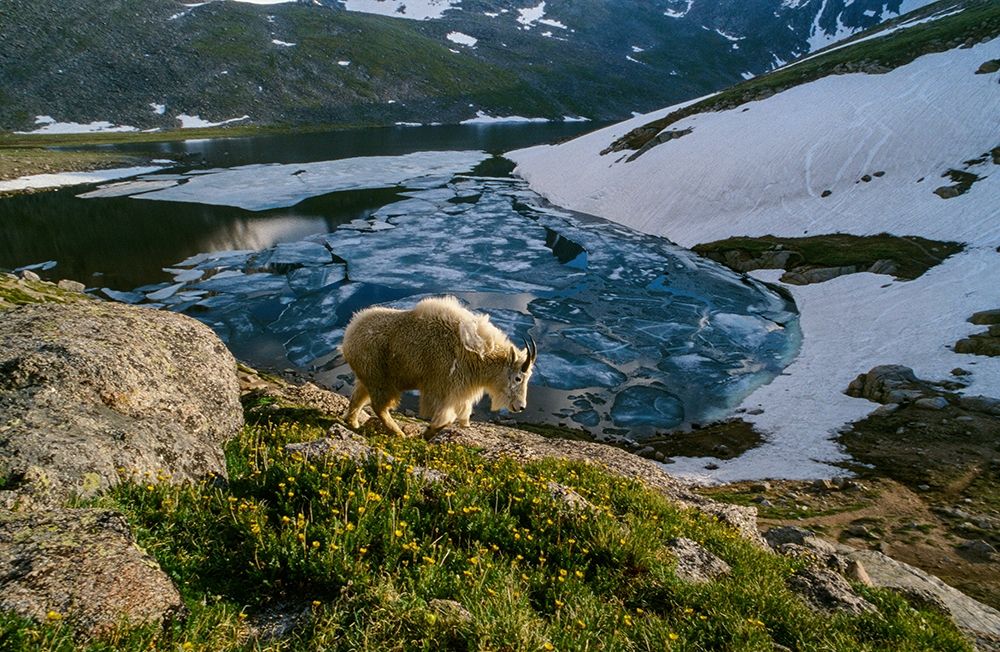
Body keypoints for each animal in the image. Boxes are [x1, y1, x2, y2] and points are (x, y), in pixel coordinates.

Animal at [342, 296, 536, 438]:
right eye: (518, 378)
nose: (521, 407)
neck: (477, 353)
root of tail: (350, 333)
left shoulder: (460, 392)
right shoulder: (443, 388)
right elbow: (445, 418)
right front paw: (428, 432)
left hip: (370, 376)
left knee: (358, 397)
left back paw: (353, 423)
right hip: (381, 379)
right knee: (379, 406)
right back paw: (398, 433)